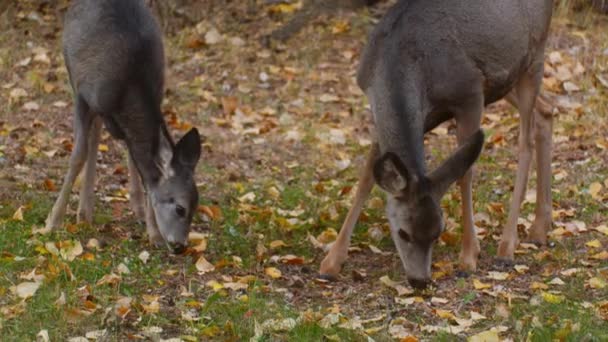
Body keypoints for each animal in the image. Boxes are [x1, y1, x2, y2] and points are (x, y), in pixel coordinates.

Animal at [45, 0, 202, 254]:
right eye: (180, 208)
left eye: (196, 206)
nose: (180, 246)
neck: (130, 90)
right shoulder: (83, 94)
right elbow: (78, 154)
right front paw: (52, 221)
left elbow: (141, 164)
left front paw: (153, 233)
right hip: (72, 72)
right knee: (93, 138)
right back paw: (83, 212)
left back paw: (92, 211)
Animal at [318, 0, 556, 288]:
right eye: (403, 233)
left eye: (438, 232)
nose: (420, 280)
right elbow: (366, 176)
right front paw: (331, 262)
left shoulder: (470, 94)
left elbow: (465, 173)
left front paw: (469, 256)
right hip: (505, 80)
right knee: (546, 111)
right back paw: (539, 228)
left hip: (534, 56)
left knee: (526, 140)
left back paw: (507, 247)